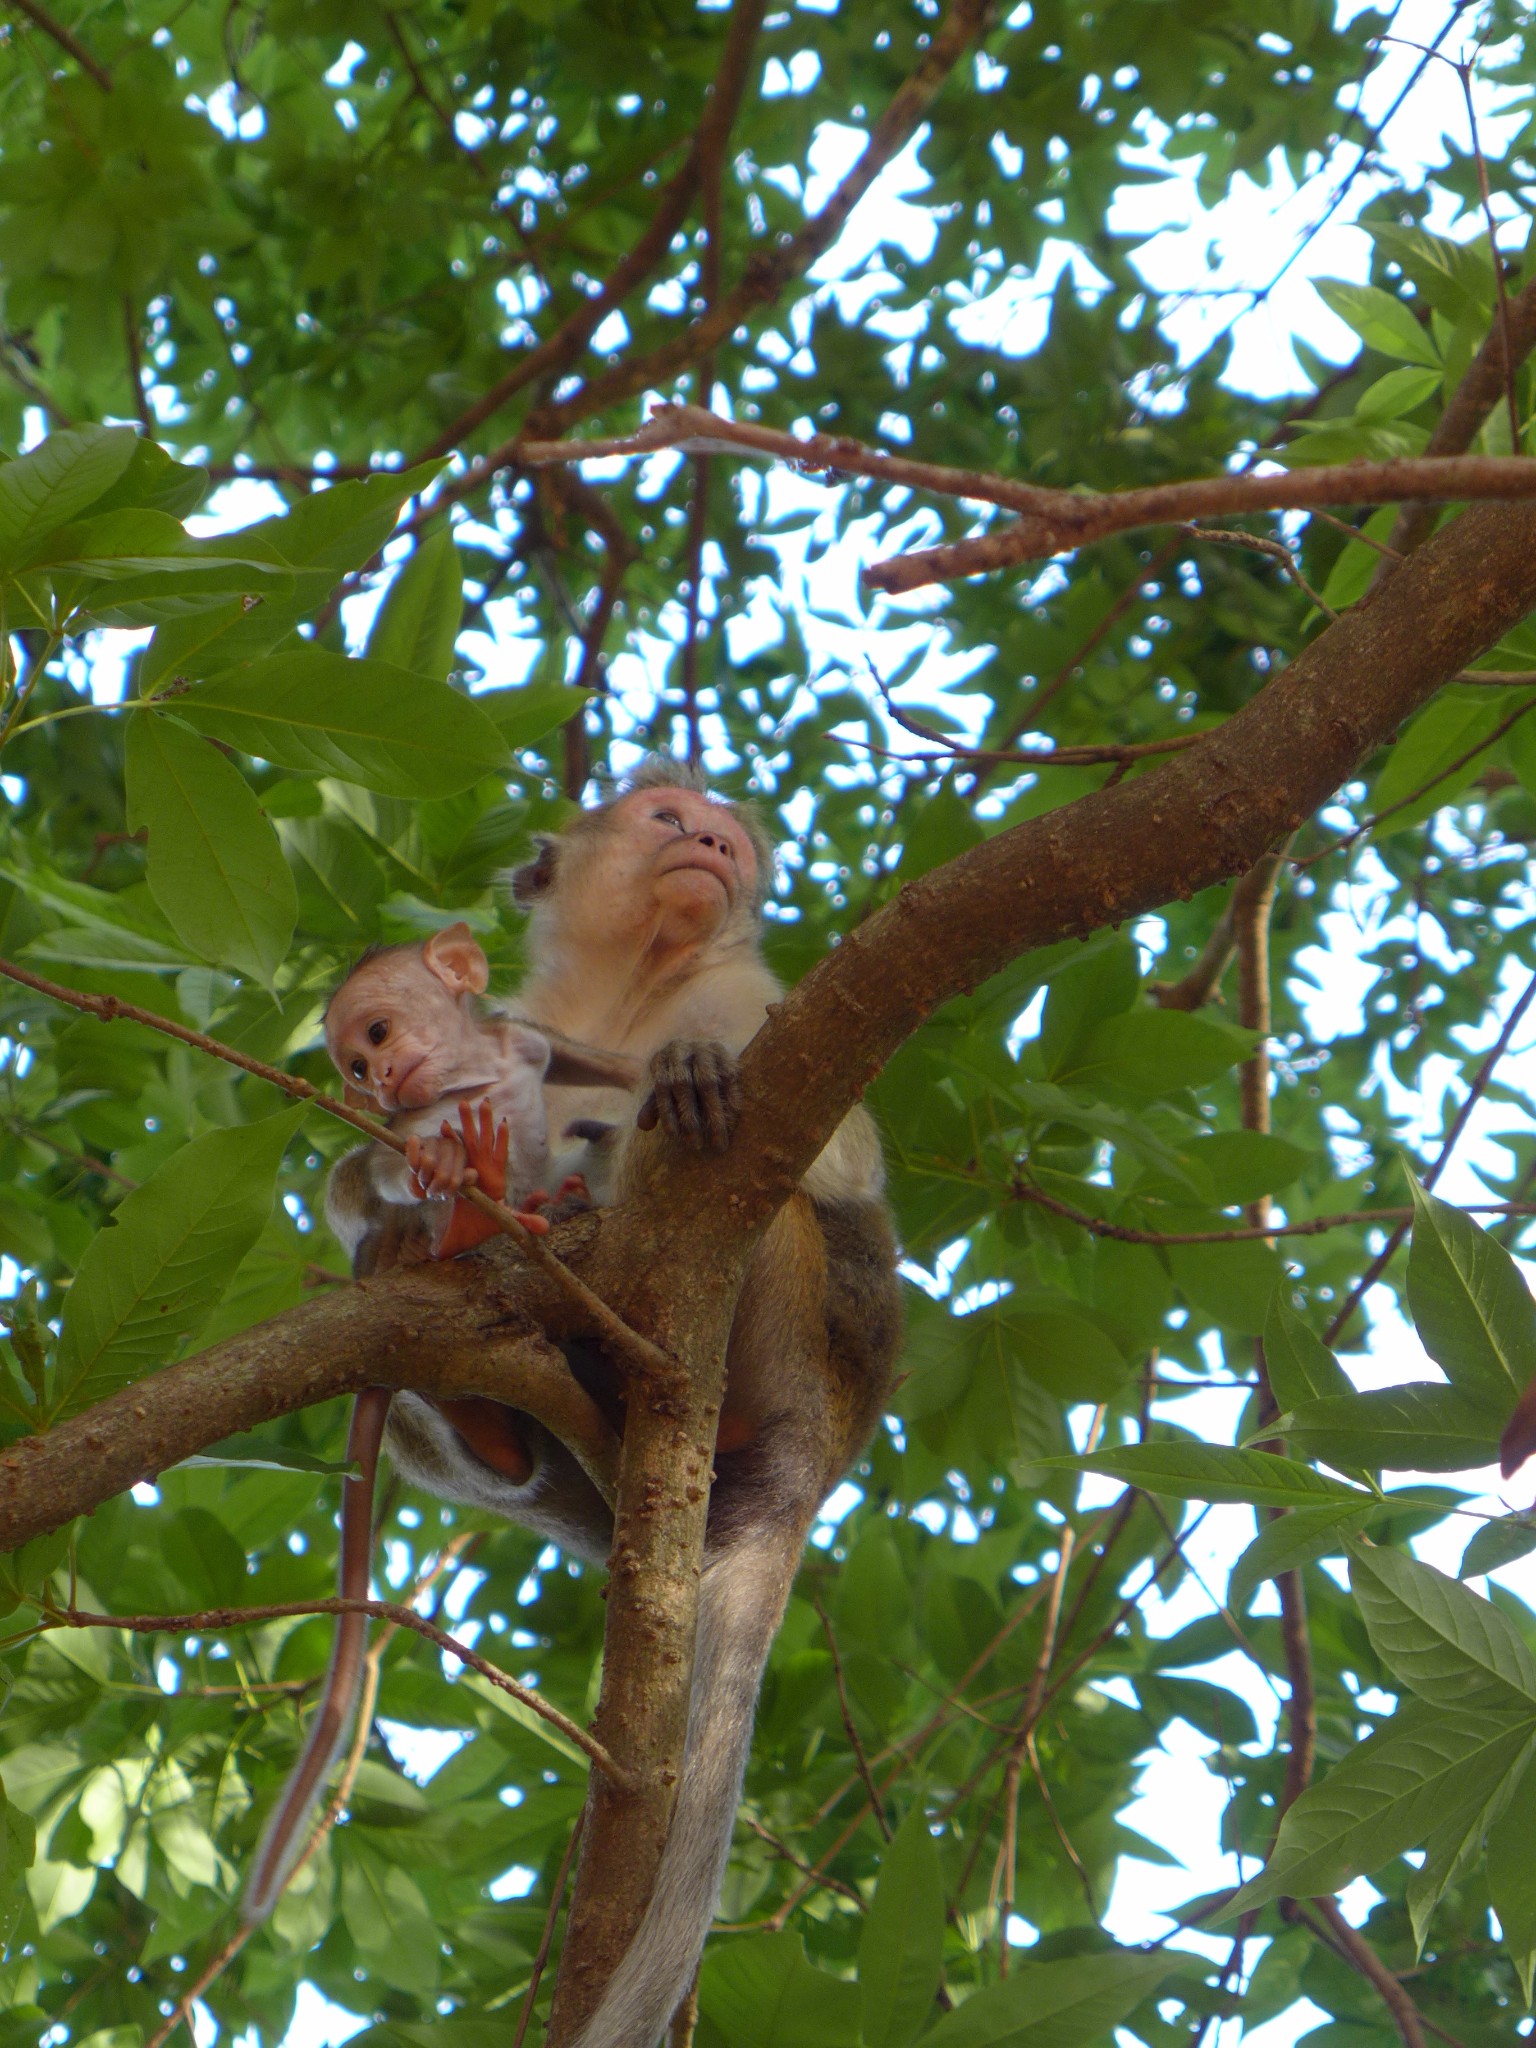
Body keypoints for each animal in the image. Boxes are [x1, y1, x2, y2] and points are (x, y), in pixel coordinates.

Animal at [246, 929, 638, 1916]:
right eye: (353, 1064)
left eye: (378, 1034)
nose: (380, 1077)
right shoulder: (418, 1123)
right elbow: (394, 1158)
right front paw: (454, 1174)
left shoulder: (520, 1047)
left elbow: (571, 1061)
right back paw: (464, 1223)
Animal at [331, 765, 901, 2048]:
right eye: (667, 820)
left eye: (724, 836)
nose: (710, 845)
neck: (636, 979)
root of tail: (822, 1445)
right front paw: (394, 1198)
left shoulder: (756, 1000)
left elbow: (827, 1149)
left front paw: (671, 1081)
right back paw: (488, 1381)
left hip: (791, 1330)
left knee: (735, 1187)